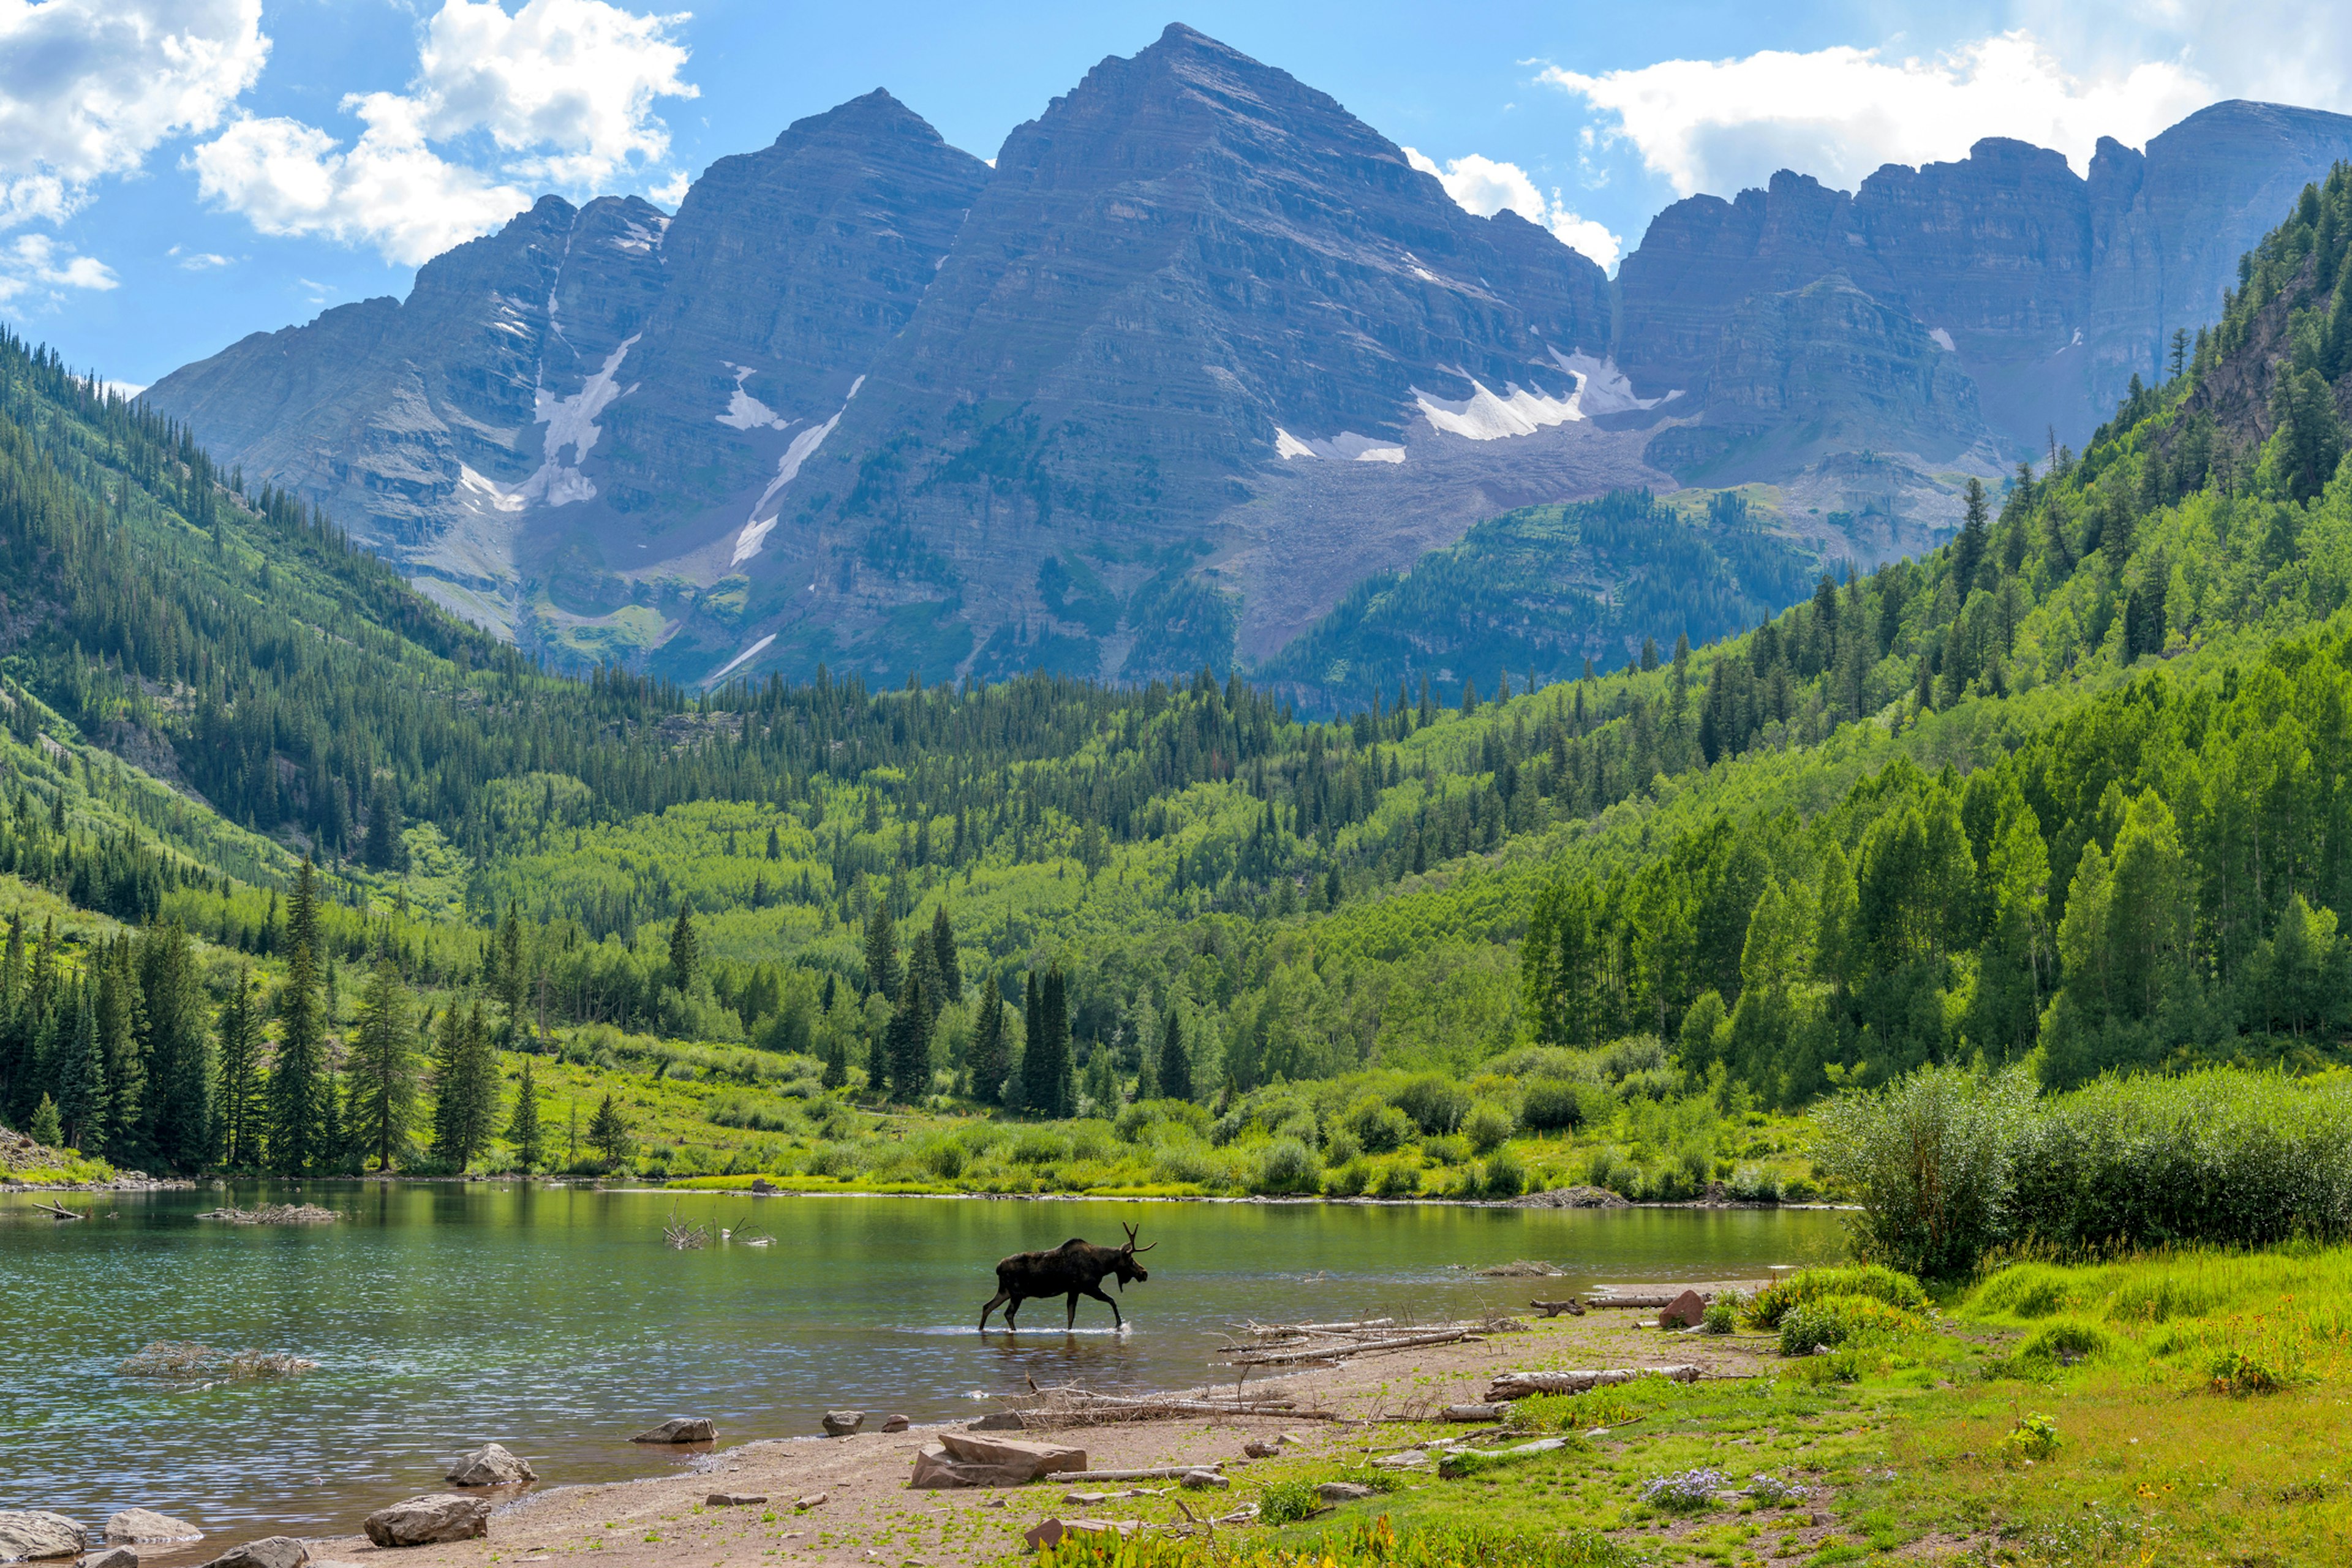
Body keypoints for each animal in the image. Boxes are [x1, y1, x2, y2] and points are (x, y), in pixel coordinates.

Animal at [978, 1222, 1152, 1335]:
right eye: (1131, 1260)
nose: (1144, 1273)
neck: (1103, 1266)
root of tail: (998, 1268)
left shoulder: (1074, 1290)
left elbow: (1071, 1316)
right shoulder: (1089, 1287)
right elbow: (1112, 1301)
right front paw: (1119, 1325)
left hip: (1005, 1291)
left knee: (987, 1306)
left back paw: (980, 1329)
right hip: (1016, 1293)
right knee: (1008, 1313)